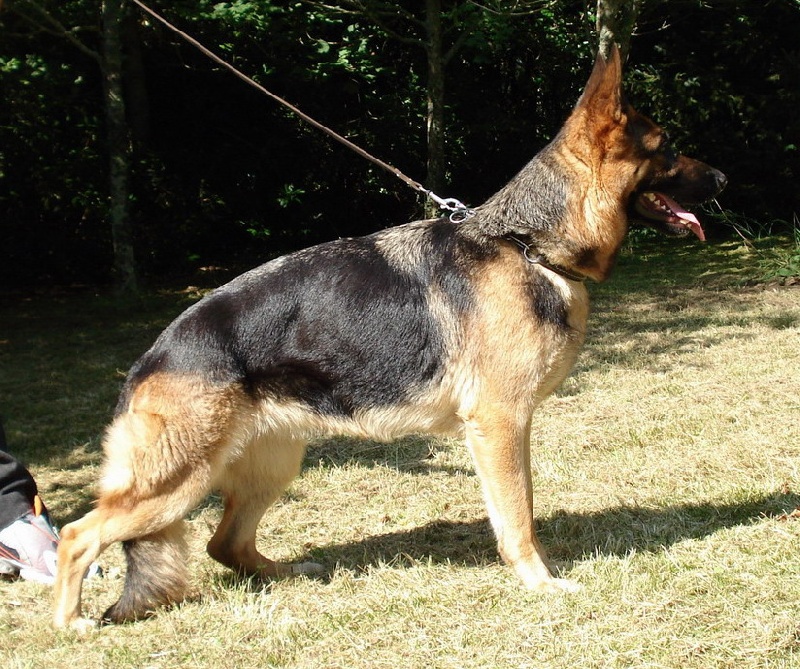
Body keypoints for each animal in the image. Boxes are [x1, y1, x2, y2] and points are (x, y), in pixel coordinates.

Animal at [53, 45, 726, 629]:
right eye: (668, 149)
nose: (722, 176)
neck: (528, 244)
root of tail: (149, 359)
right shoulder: (499, 423)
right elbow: (519, 516)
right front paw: (538, 582)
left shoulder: (506, 427)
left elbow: (517, 508)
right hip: (178, 480)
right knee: (77, 535)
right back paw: (71, 625)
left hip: (271, 465)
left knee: (226, 545)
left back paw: (292, 572)